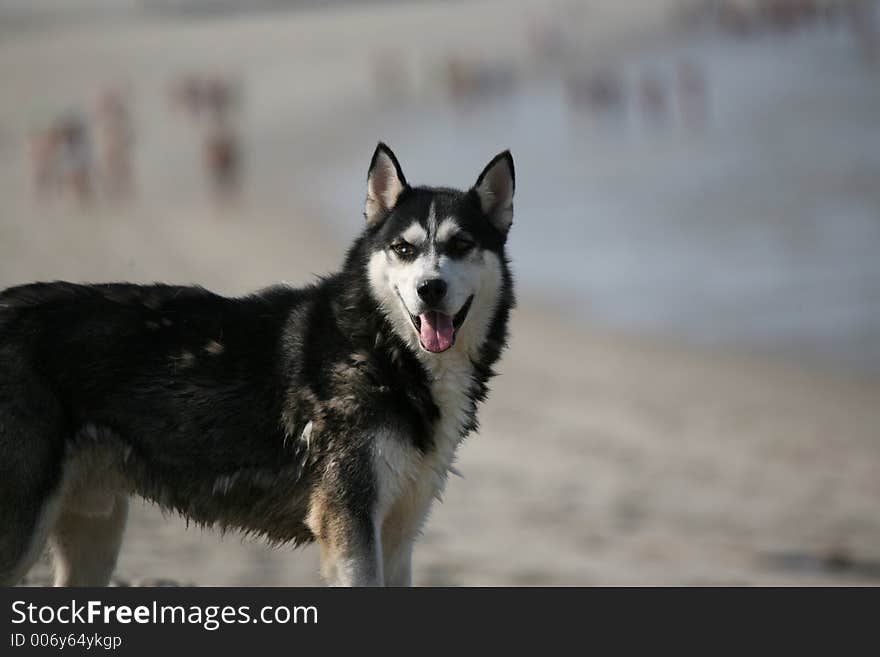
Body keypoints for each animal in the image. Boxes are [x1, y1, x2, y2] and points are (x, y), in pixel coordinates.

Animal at [0, 142, 516, 584]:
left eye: (461, 245)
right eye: (404, 249)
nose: (430, 289)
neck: (382, 348)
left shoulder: (398, 534)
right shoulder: (350, 526)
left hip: (97, 531)